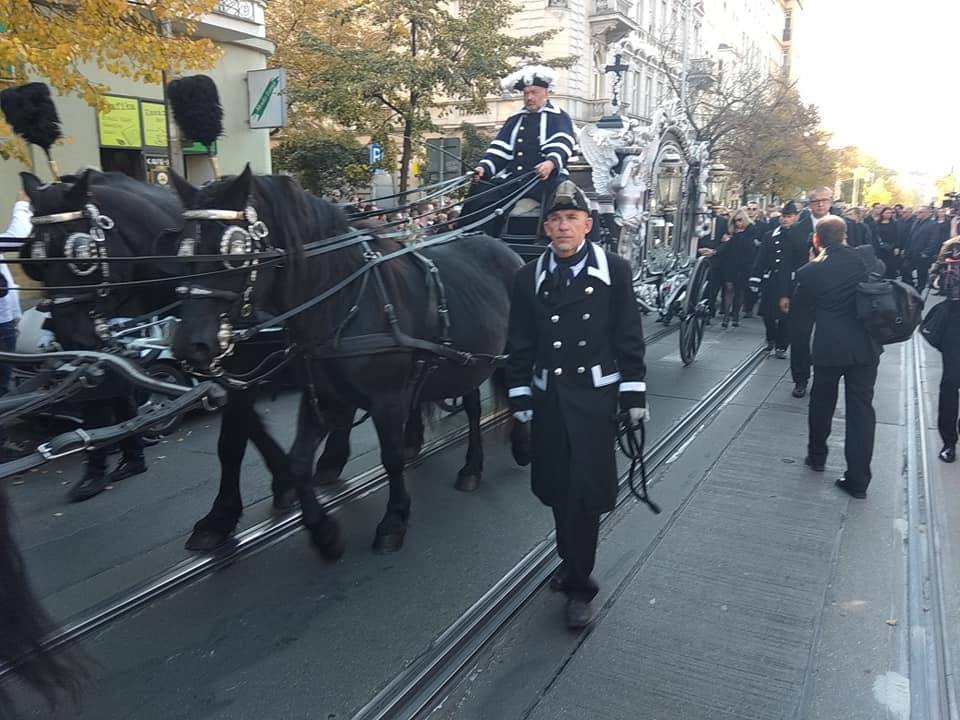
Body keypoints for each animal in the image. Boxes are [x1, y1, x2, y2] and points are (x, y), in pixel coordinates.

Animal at [169, 167, 520, 552]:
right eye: (182, 252)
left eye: (235, 251)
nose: (189, 344)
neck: (345, 299)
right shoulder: (321, 395)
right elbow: (297, 461)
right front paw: (322, 530)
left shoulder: (387, 400)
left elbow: (390, 458)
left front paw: (394, 518)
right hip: (466, 360)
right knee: (472, 403)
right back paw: (472, 464)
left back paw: (506, 449)